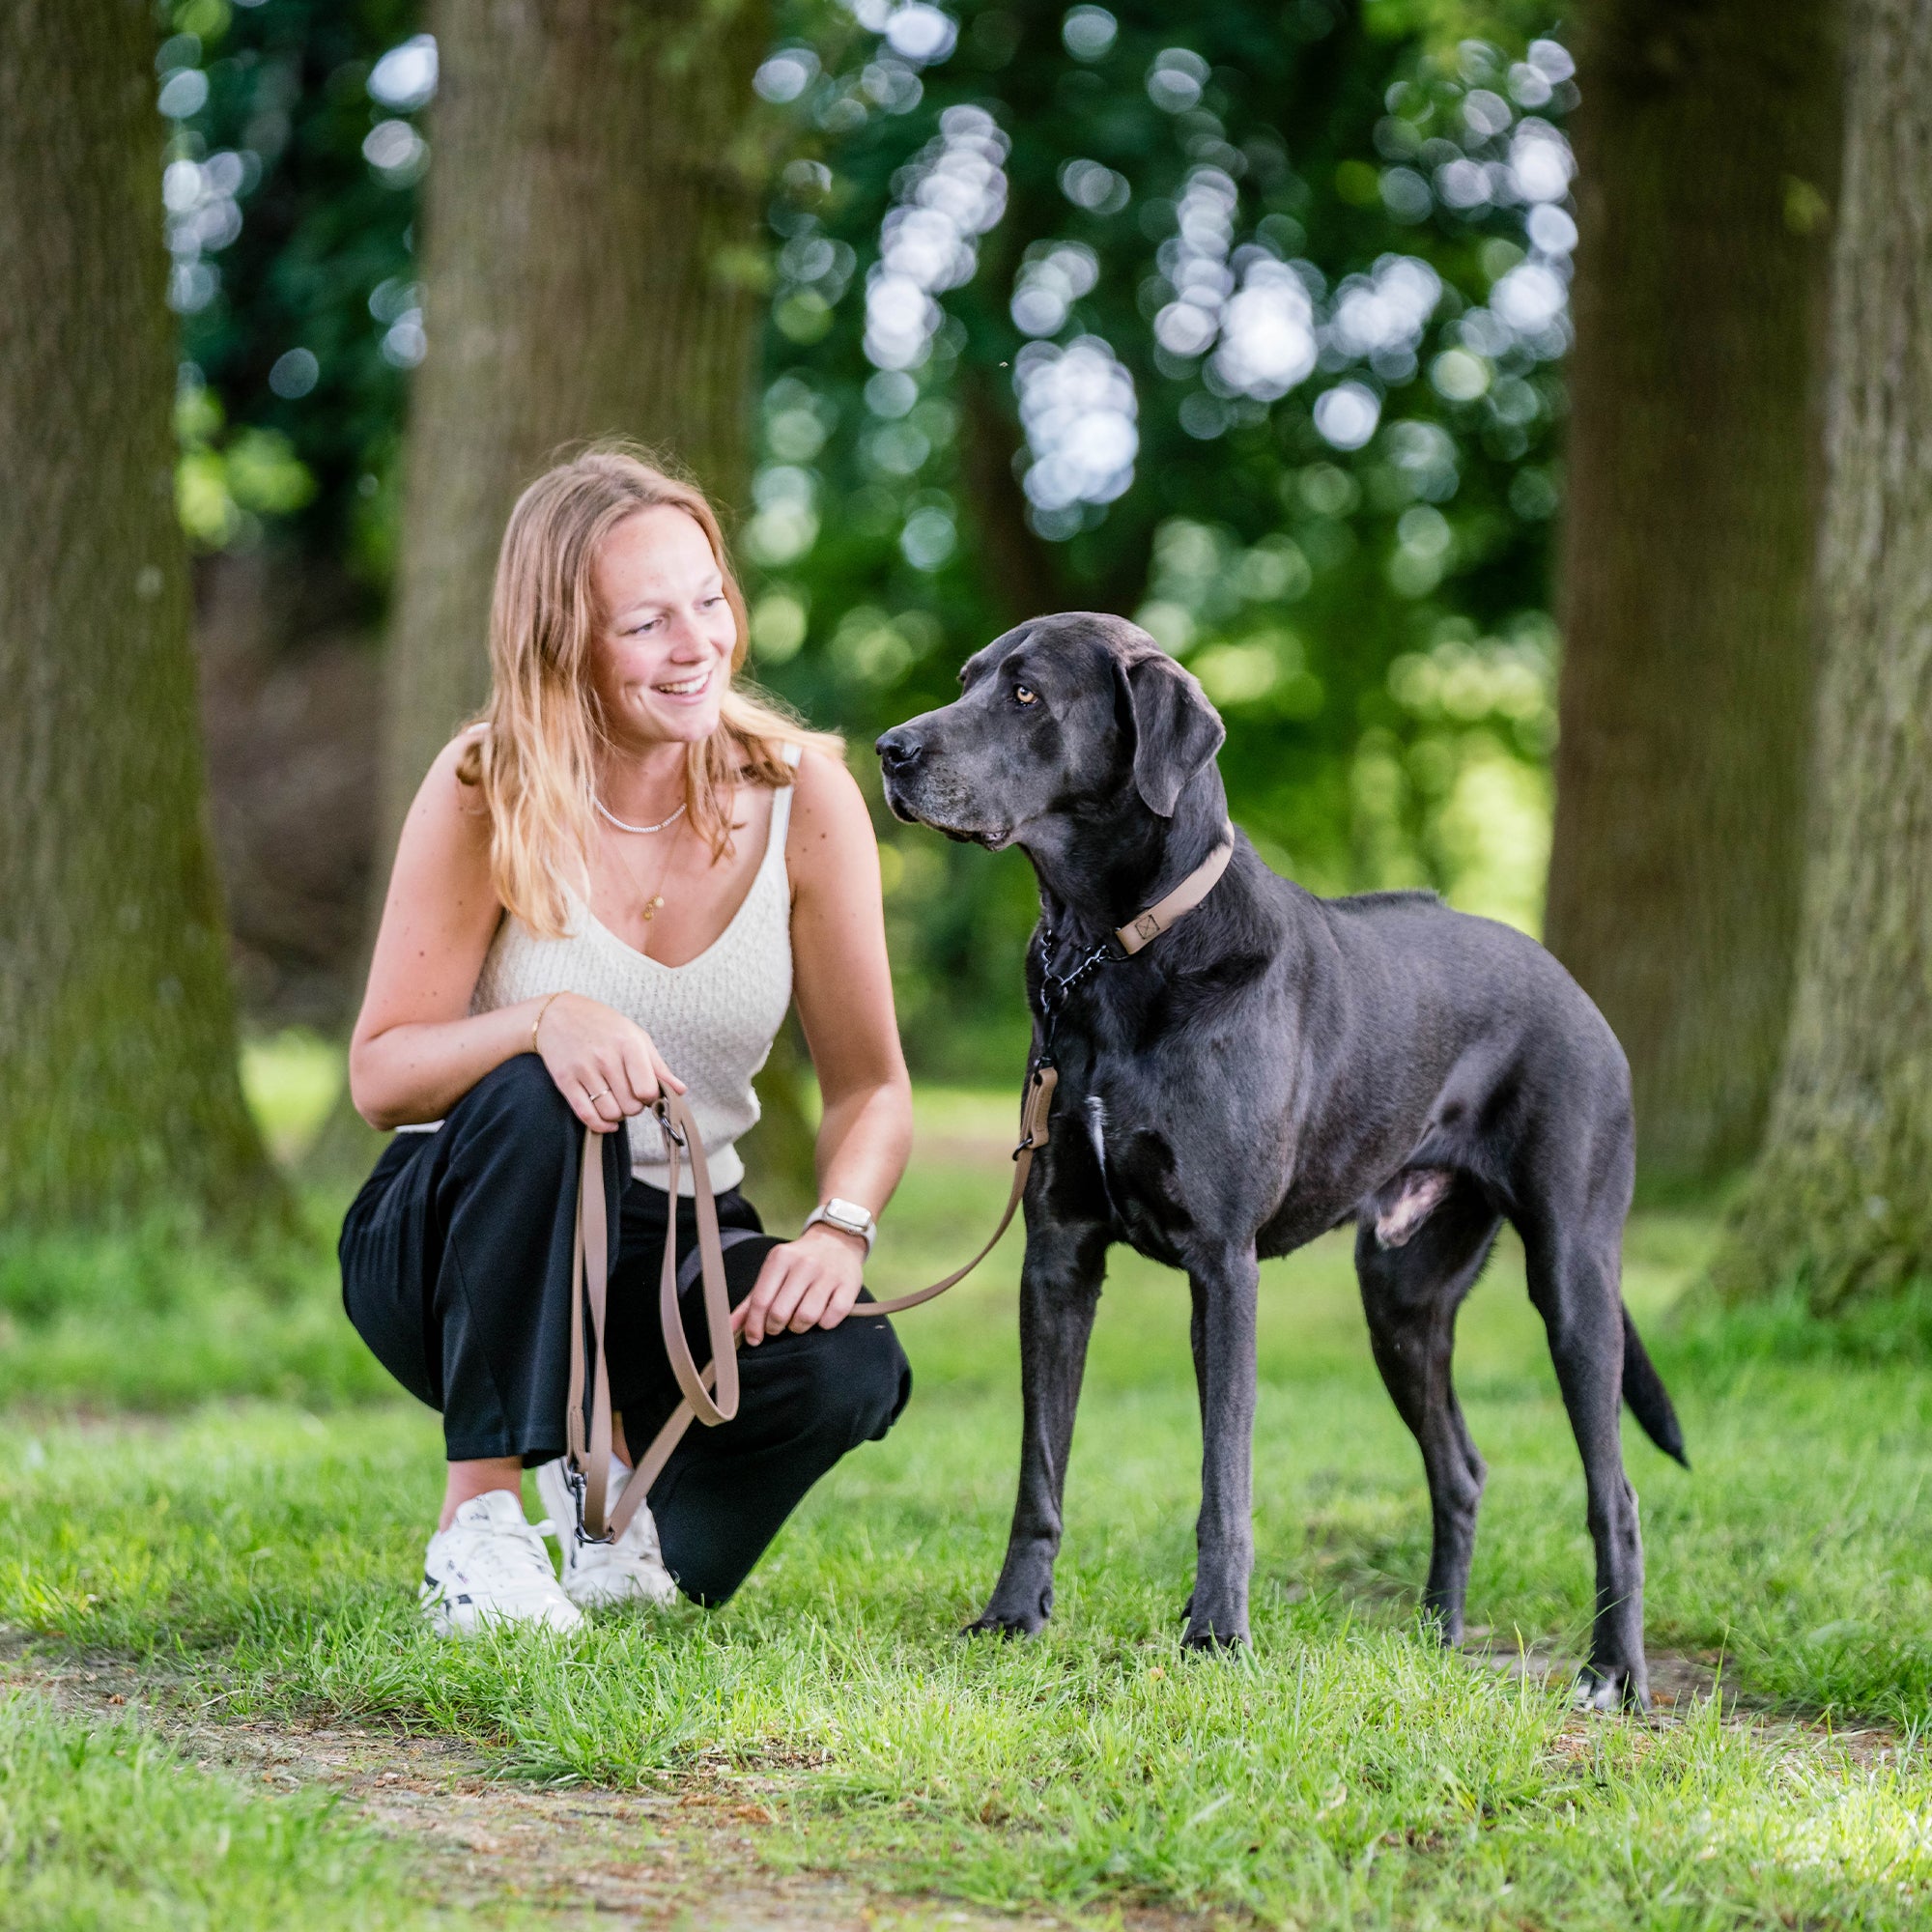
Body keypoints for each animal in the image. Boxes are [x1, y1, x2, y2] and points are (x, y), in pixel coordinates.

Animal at [877, 611, 1677, 1716]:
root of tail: (1568, 981)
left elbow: (1226, 1474)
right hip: (1400, 1296)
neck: (1112, 950)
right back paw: (1435, 1635)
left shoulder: (1223, 1264)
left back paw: (1614, 1672)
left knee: (1618, 1492)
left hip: (1572, 1277)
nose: (889, 751)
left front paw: (1216, 1631)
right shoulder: (1058, 1255)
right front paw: (1013, 1616)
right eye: (965, 680)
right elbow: (1040, 1464)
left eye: (1027, 694)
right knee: (1461, 1468)